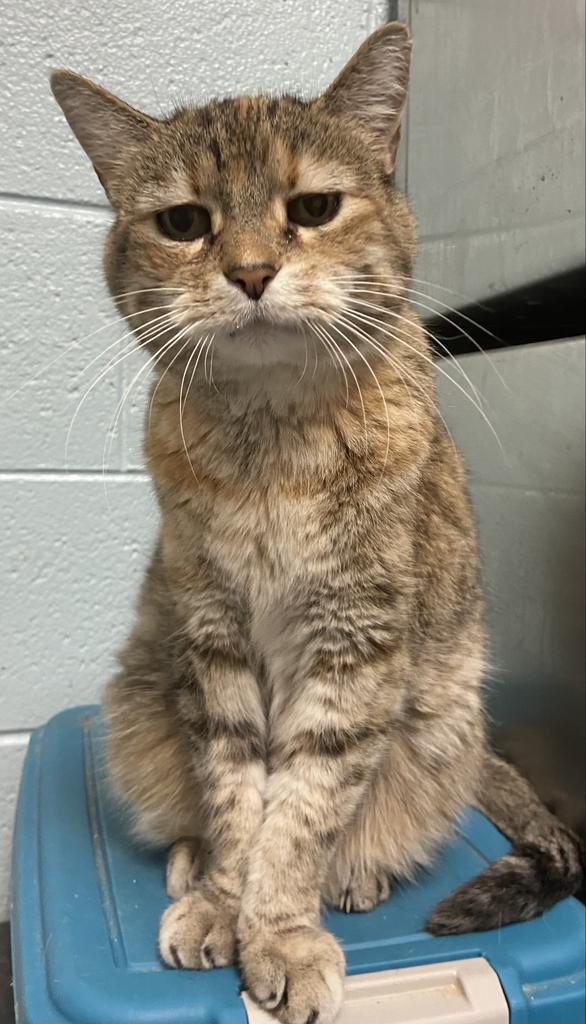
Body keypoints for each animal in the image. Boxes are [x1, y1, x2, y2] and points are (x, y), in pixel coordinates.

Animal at [52, 22, 581, 1024]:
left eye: (314, 206)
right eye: (184, 224)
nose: (251, 271)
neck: (271, 443)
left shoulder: (355, 644)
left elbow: (302, 806)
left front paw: (280, 930)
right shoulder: (211, 637)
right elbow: (236, 794)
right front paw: (225, 900)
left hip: (440, 728)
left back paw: (356, 875)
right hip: (141, 700)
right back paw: (191, 865)